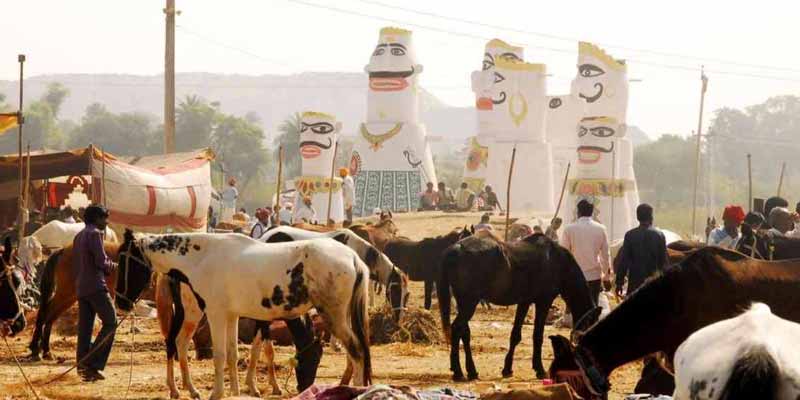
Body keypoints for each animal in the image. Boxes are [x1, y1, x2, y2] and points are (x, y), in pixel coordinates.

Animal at [127, 231, 372, 400]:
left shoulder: (233, 315)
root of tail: (353, 258)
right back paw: (178, 388)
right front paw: (251, 387)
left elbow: (241, 352)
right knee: (175, 342)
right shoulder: (239, 316)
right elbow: (250, 352)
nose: (304, 388)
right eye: (310, 357)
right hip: (190, 313)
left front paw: (245, 388)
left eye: (318, 359)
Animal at [438, 233, 600, 380]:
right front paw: (540, 370)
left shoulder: (524, 302)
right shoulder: (544, 302)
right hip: (469, 303)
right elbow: (538, 335)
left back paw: (470, 371)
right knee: (457, 328)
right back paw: (459, 372)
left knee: (464, 332)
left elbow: (515, 335)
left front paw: (507, 369)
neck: (558, 262)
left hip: (464, 303)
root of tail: (456, 247)